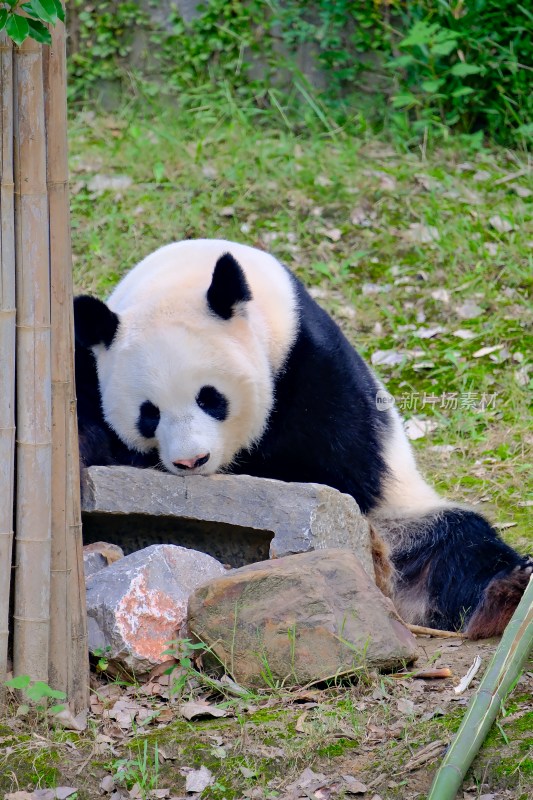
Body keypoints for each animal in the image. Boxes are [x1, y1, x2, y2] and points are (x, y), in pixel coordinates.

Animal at [74, 238, 528, 636]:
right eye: (149, 414)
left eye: (210, 398)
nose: (191, 461)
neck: (185, 275)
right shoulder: (86, 361)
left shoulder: (312, 366)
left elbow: (335, 473)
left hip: (401, 517)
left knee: (458, 543)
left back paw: (504, 593)